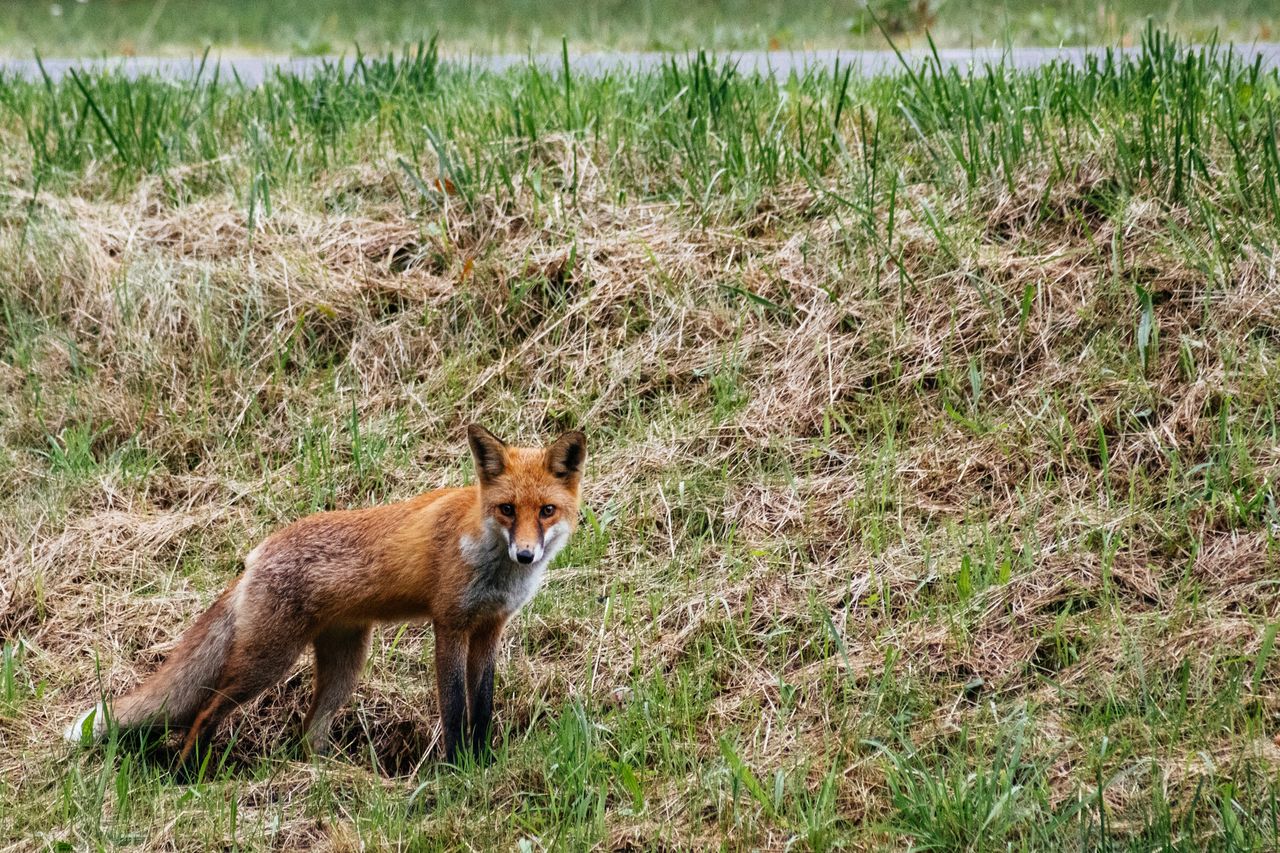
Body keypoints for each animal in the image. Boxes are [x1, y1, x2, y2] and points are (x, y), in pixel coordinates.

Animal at [67, 422, 586, 758]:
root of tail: (258, 552)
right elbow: (455, 708)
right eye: (506, 509)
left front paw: (482, 764)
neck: (491, 562)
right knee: (205, 712)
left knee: (308, 733)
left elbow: (482, 707)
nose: (526, 555)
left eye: (545, 511)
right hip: (267, 662)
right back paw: (186, 774)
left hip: (344, 668)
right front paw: (456, 769)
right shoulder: (450, 625)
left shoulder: (489, 628)